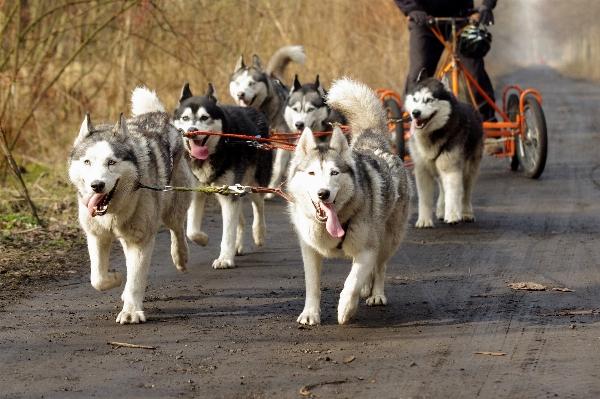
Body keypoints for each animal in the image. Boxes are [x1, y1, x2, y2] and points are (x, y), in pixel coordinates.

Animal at [69, 87, 193, 324]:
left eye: (111, 162)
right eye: (87, 162)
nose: (96, 185)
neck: (113, 212)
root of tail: (155, 114)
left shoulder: (140, 240)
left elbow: (136, 279)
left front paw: (131, 312)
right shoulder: (97, 235)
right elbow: (98, 279)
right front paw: (116, 278)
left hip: (172, 208)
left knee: (177, 229)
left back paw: (181, 257)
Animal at [170, 83, 270, 270]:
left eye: (204, 117)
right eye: (185, 118)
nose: (192, 131)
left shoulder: (230, 196)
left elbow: (228, 232)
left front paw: (225, 259)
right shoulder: (198, 192)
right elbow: (192, 231)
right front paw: (203, 239)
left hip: (255, 181)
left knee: (259, 206)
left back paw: (259, 233)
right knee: (240, 218)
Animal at [229, 45, 308, 197]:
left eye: (251, 83)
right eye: (237, 83)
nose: (240, 94)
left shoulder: (281, 144)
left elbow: (277, 168)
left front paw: (271, 190)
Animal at [288, 77, 412, 324]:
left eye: (334, 173)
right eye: (311, 173)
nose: (323, 194)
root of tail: (373, 144)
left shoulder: (368, 250)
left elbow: (351, 282)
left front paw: (346, 308)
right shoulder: (310, 250)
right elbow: (312, 285)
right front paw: (310, 313)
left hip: (388, 239)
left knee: (380, 267)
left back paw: (376, 294)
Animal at [404, 72, 482, 228]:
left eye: (429, 100)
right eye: (415, 99)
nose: (415, 112)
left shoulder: (451, 167)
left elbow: (452, 193)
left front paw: (452, 215)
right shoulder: (422, 170)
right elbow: (425, 199)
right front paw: (424, 220)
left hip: (469, 168)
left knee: (466, 191)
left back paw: (466, 213)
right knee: (442, 187)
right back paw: (441, 209)